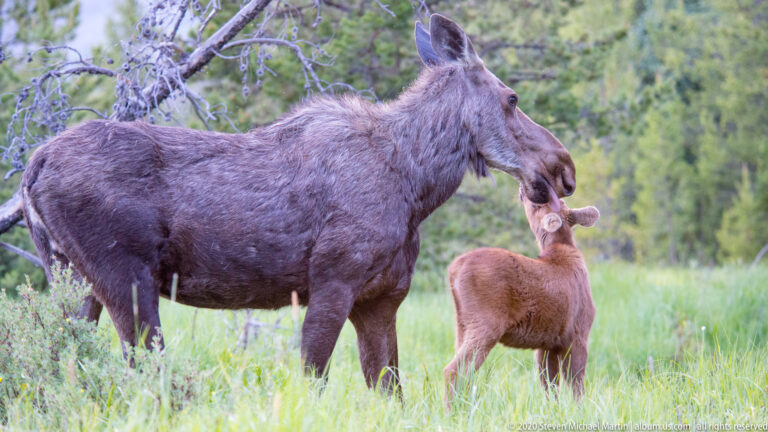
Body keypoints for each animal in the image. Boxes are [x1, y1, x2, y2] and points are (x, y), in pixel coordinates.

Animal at [19, 14, 576, 395]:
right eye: (511, 98)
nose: (563, 168)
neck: (416, 186)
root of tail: (34, 163)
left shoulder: (381, 298)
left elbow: (388, 386)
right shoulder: (332, 281)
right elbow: (313, 376)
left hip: (69, 273)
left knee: (66, 357)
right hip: (124, 274)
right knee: (139, 365)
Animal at [444, 188, 599, 403]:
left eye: (536, 204)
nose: (522, 190)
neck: (562, 247)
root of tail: (454, 269)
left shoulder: (549, 342)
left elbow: (550, 385)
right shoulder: (579, 331)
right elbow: (577, 385)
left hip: (462, 324)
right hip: (485, 322)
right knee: (454, 370)